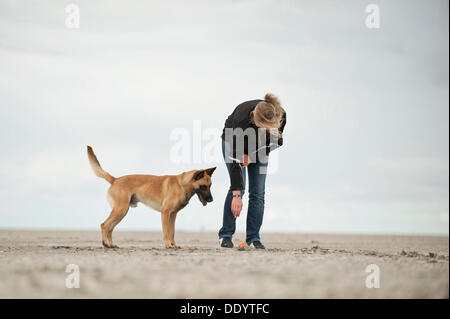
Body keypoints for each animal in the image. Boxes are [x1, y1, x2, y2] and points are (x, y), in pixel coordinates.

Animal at [87, 146, 216, 249]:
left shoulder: (173, 215)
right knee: (104, 225)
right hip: (121, 210)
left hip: (121, 212)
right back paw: (105, 243)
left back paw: (110, 244)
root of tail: (115, 179)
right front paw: (168, 245)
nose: (211, 200)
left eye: (210, 185)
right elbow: (166, 231)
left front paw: (174, 245)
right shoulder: (165, 213)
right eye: (203, 186)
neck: (181, 185)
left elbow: (172, 232)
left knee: (110, 228)